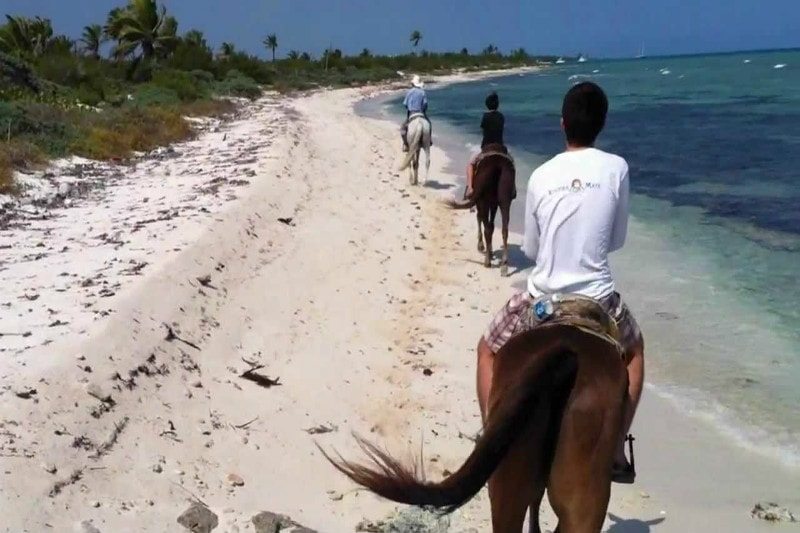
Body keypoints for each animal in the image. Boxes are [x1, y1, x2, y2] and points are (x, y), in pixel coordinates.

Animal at [444, 145, 512, 278]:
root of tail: (497, 165)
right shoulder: (493, 203)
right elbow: (491, 224)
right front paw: (489, 248)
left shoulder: (482, 202)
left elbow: (481, 220)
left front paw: (482, 246)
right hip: (505, 198)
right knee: (504, 229)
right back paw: (504, 265)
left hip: (483, 200)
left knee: (485, 225)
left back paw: (487, 261)